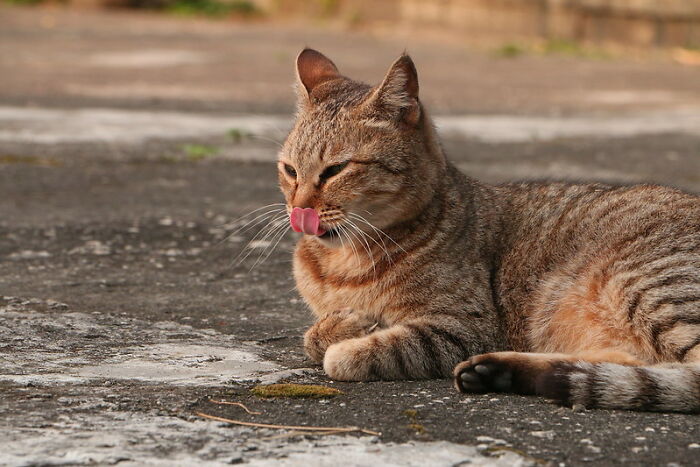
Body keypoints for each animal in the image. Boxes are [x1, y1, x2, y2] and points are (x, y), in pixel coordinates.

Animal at [278, 47, 700, 414]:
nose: (299, 209)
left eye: (335, 170)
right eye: (289, 170)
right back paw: (502, 372)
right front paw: (342, 324)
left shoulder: (465, 326)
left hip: (642, 285)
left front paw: (351, 340)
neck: (344, 261)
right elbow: (311, 337)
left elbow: (369, 350)